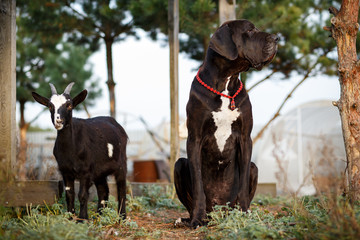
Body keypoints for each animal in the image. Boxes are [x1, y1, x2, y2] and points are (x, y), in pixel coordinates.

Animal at [32, 82, 128, 219]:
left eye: (69, 105)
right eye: (50, 106)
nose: (58, 121)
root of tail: (116, 123)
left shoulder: (86, 171)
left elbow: (82, 195)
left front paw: (82, 219)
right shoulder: (65, 171)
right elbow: (69, 195)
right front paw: (70, 217)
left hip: (121, 163)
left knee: (121, 188)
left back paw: (122, 216)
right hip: (99, 171)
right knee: (103, 189)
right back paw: (99, 215)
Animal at [174, 19, 278, 228]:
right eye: (250, 31)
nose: (277, 38)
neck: (225, 85)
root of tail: (218, 211)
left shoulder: (245, 138)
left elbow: (243, 184)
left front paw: (245, 215)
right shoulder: (194, 138)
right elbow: (198, 185)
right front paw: (197, 220)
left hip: (254, 168)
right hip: (178, 165)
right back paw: (188, 219)